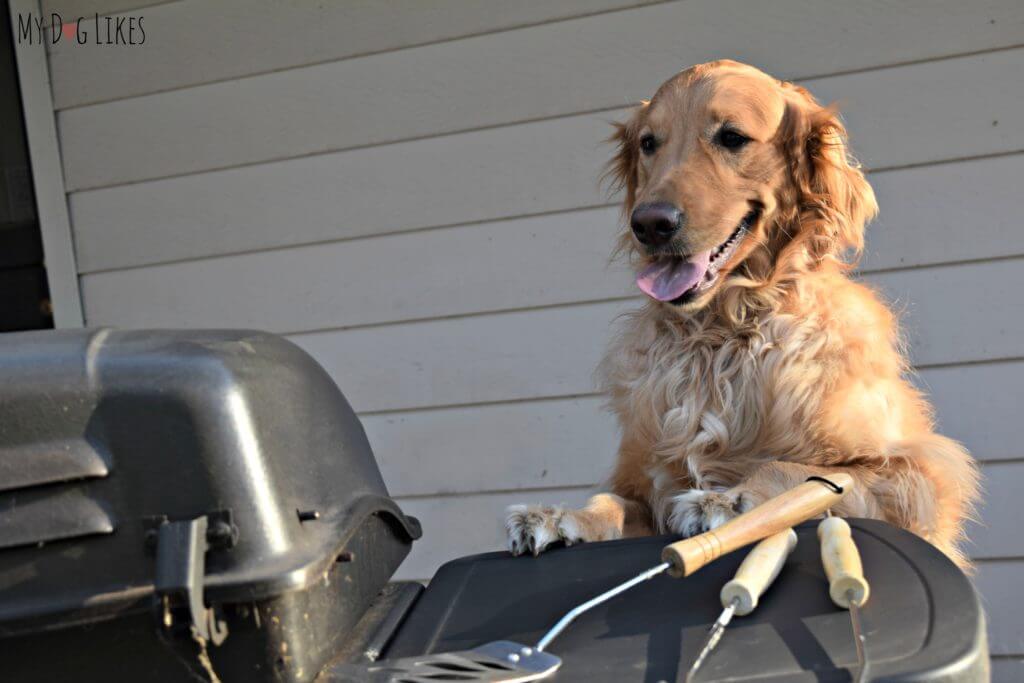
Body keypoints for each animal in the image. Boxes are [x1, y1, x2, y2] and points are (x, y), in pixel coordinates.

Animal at [507, 60, 978, 565]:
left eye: (731, 137)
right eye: (649, 143)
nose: (649, 224)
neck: (721, 332)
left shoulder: (915, 476)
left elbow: (790, 468)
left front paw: (729, 499)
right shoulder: (643, 484)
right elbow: (611, 499)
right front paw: (558, 513)